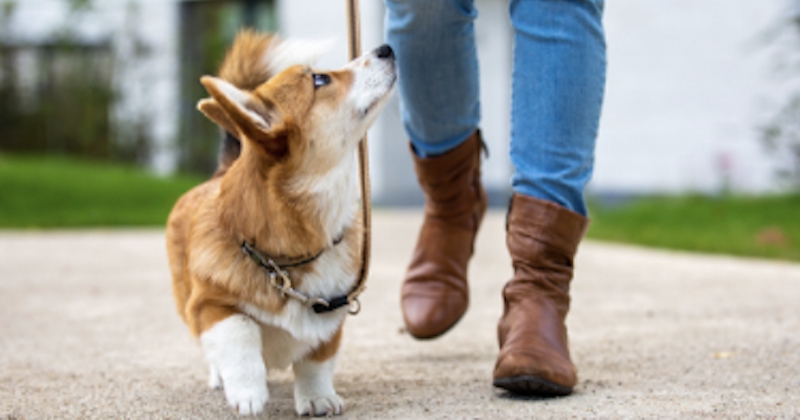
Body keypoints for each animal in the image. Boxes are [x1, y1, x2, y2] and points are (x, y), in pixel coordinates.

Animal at [166, 30, 396, 416]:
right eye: (320, 79)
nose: (387, 48)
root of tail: (221, 170)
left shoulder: (330, 315)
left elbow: (316, 360)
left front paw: (318, 398)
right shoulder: (209, 306)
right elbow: (240, 331)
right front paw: (248, 392)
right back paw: (220, 376)